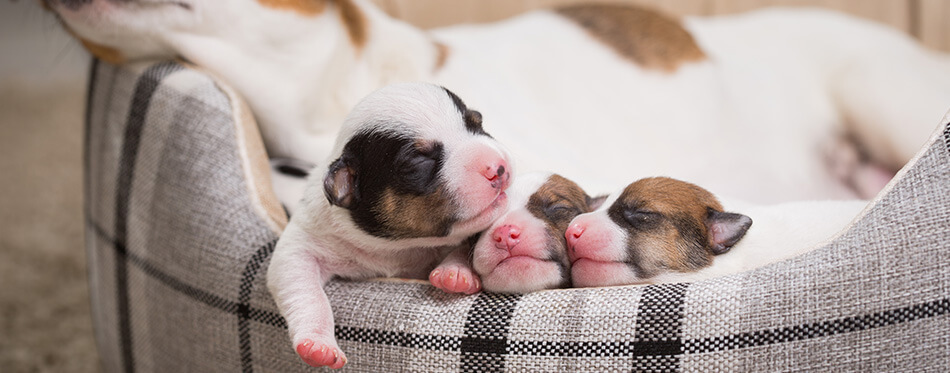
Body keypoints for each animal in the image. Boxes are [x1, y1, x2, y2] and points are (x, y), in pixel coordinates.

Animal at [268, 83, 512, 368]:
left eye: (478, 122)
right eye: (418, 161)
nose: (499, 167)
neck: (401, 246)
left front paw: (454, 272)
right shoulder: (305, 242)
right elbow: (304, 287)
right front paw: (317, 344)